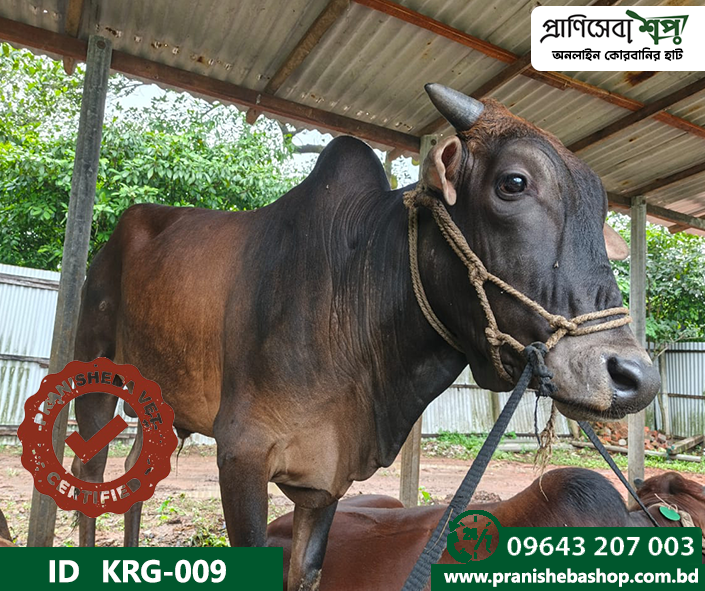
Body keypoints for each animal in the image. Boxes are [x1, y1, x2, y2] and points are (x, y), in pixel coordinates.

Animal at [71, 84, 660, 590]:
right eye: (513, 183)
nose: (635, 378)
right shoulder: (240, 454)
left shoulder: (324, 482)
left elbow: (305, 573)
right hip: (95, 372)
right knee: (89, 468)